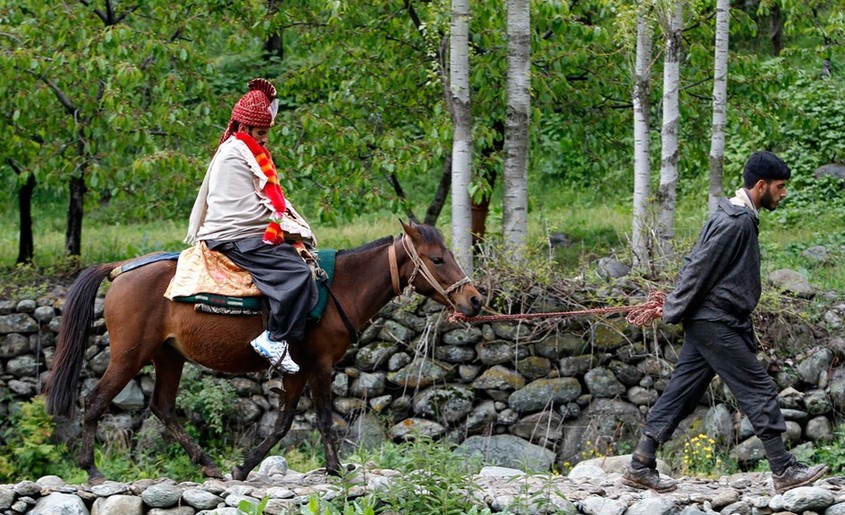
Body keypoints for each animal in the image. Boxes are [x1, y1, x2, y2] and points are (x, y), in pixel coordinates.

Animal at [46, 222, 482, 484]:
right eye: (438, 258)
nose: (475, 300)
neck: (338, 287)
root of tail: (119, 268)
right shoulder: (320, 365)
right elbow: (324, 419)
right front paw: (336, 469)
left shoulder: (297, 369)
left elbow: (283, 422)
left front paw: (243, 467)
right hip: (129, 354)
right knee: (95, 400)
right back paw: (92, 470)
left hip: (169, 355)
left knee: (163, 407)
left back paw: (208, 464)